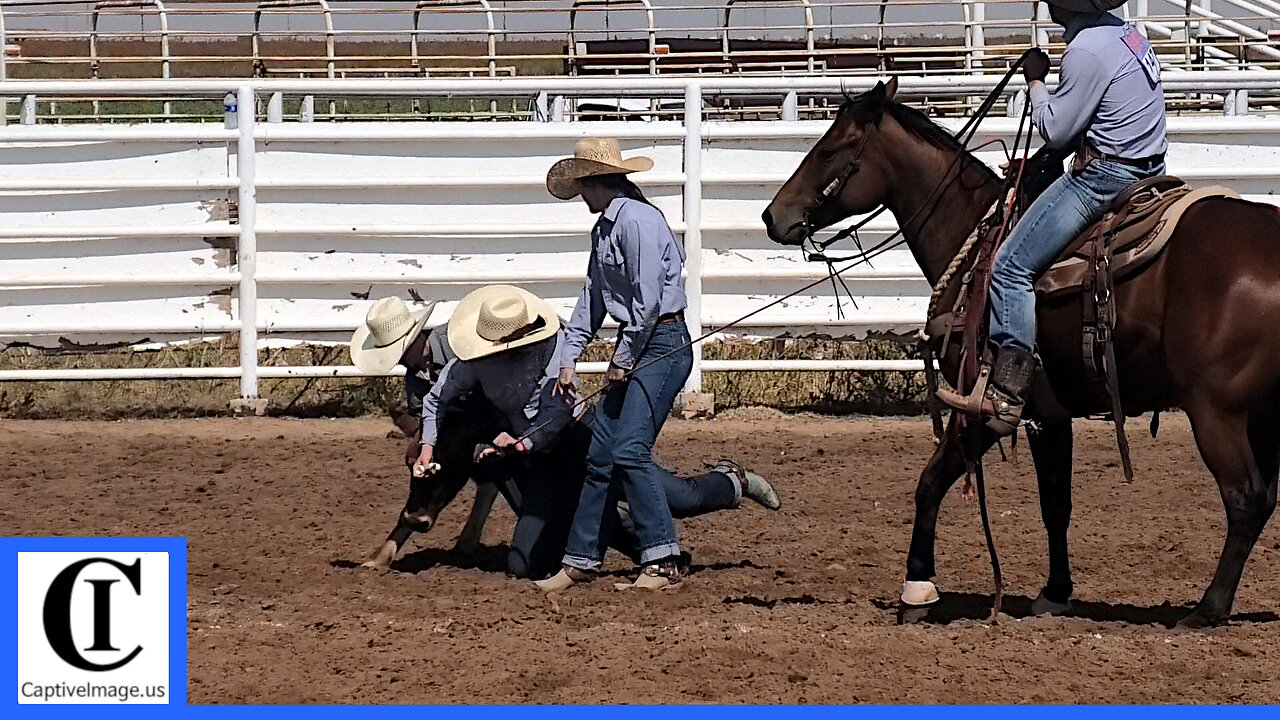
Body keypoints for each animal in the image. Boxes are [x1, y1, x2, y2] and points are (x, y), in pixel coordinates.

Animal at [757, 78, 1280, 625]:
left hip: (1217, 411)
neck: (975, 243)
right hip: (1263, 413)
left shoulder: (991, 406)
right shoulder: (1050, 414)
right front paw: (1055, 592)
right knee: (1264, 498)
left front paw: (917, 589)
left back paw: (1208, 609)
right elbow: (1056, 504)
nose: (773, 215)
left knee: (1245, 498)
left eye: (830, 149)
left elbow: (931, 480)